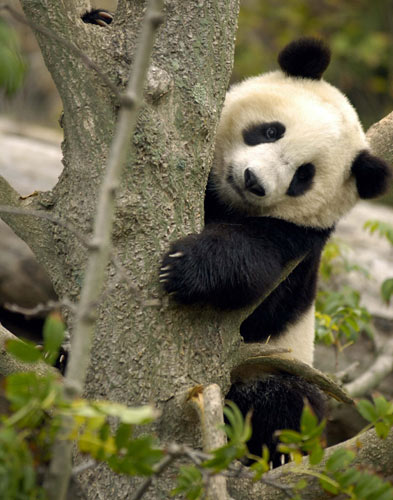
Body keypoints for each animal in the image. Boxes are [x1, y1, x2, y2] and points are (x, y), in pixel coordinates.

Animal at [160, 37, 392, 466]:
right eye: (270, 131)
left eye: (303, 175)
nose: (253, 181)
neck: (228, 200)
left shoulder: (299, 244)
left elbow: (257, 290)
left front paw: (185, 266)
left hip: (281, 368)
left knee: (284, 405)